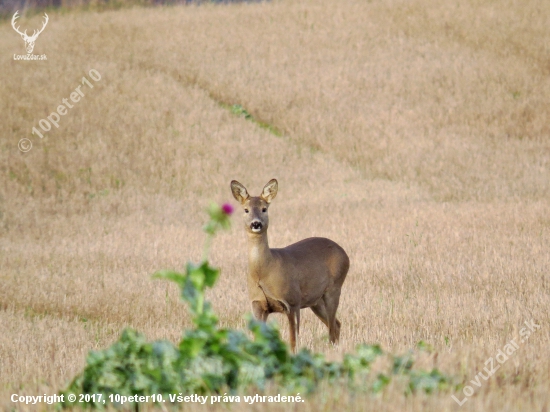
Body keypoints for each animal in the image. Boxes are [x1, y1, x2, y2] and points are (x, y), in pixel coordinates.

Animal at [232, 178, 352, 350]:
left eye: (264, 209)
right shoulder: (257, 304)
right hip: (316, 300)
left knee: (331, 327)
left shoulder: (292, 302)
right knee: (336, 324)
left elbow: (293, 340)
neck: (264, 271)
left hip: (334, 288)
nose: (256, 224)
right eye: (246, 210)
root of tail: (344, 253)